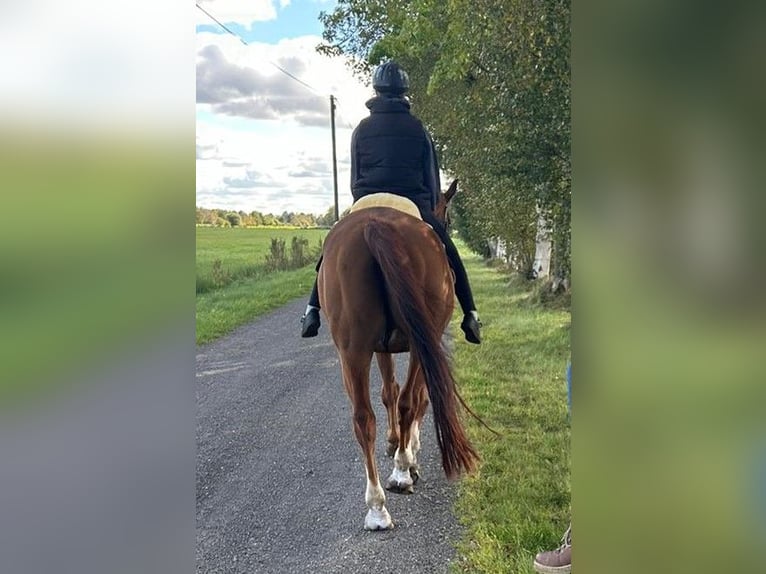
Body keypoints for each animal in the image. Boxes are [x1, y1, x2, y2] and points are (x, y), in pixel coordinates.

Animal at [318, 180, 480, 532]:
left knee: (363, 418)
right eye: (446, 212)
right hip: (418, 343)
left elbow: (388, 392)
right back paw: (402, 473)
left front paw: (394, 443)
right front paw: (408, 453)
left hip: (352, 350)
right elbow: (417, 398)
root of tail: (375, 224)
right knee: (409, 401)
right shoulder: (424, 344)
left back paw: (377, 507)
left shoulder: (381, 348)